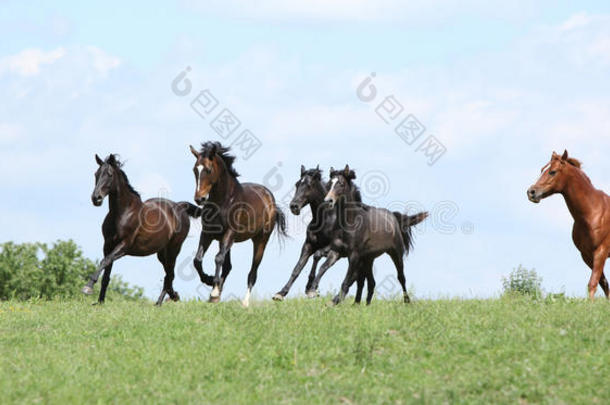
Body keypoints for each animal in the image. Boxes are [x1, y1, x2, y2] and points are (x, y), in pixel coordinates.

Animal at [82, 153, 202, 304]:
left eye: (109, 174)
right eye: (96, 174)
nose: (96, 198)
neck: (123, 213)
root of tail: (179, 206)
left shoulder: (124, 246)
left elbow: (104, 261)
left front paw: (88, 288)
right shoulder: (108, 245)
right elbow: (106, 274)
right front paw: (100, 302)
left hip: (174, 249)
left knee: (170, 275)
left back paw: (161, 302)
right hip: (161, 253)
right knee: (169, 275)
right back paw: (170, 297)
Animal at [189, 142, 286, 306]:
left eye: (208, 169)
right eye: (195, 169)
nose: (199, 199)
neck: (223, 200)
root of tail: (271, 200)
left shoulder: (230, 232)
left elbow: (218, 258)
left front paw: (213, 290)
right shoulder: (208, 233)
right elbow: (198, 259)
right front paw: (209, 282)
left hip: (260, 240)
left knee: (253, 272)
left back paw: (244, 302)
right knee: (227, 266)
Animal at [272, 165, 376, 304]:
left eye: (309, 185)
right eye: (297, 184)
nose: (294, 206)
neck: (325, 219)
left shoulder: (332, 247)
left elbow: (317, 256)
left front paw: (311, 288)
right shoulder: (308, 245)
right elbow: (297, 268)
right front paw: (281, 293)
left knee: (357, 277)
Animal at [318, 164, 428, 304]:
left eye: (341, 184)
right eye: (329, 184)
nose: (328, 201)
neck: (350, 223)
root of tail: (393, 216)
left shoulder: (354, 255)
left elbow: (346, 281)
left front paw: (333, 302)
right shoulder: (336, 251)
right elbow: (323, 268)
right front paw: (313, 291)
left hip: (395, 253)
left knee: (401, 277)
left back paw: (407, 302)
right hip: (368, 259)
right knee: (371, 283)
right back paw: (361, 305)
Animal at [524, 150, 604, 298]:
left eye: (552, 172)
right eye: (542, 169)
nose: (531, 192)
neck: (592, 212)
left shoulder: (601, 251)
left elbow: (593, 283)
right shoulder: (587, 255)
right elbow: (603, 283)